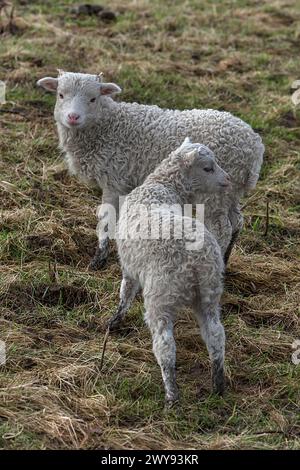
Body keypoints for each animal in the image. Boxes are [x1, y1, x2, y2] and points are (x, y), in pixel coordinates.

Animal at [37, 70, 264, 268]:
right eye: (60, 95)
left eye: (93, 99)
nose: (73, 117)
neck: (107, 127)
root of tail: (254, 148)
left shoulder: (114, 179)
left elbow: (106, 219)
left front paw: (98, 260)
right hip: (230, 190)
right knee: (237, 223)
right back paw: (226, 260)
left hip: (215, 190)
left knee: (222, 229)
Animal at [110, 138, 232, 406]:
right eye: (208, 168)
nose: (228, 180)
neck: (161, 185)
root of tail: (197, 261)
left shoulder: (129, 265)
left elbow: (125, 292)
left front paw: (114, 322)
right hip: (210, 292)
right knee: (216, 336)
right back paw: (217, 384)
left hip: (161, 296)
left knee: (165, 346)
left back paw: (171, 395)